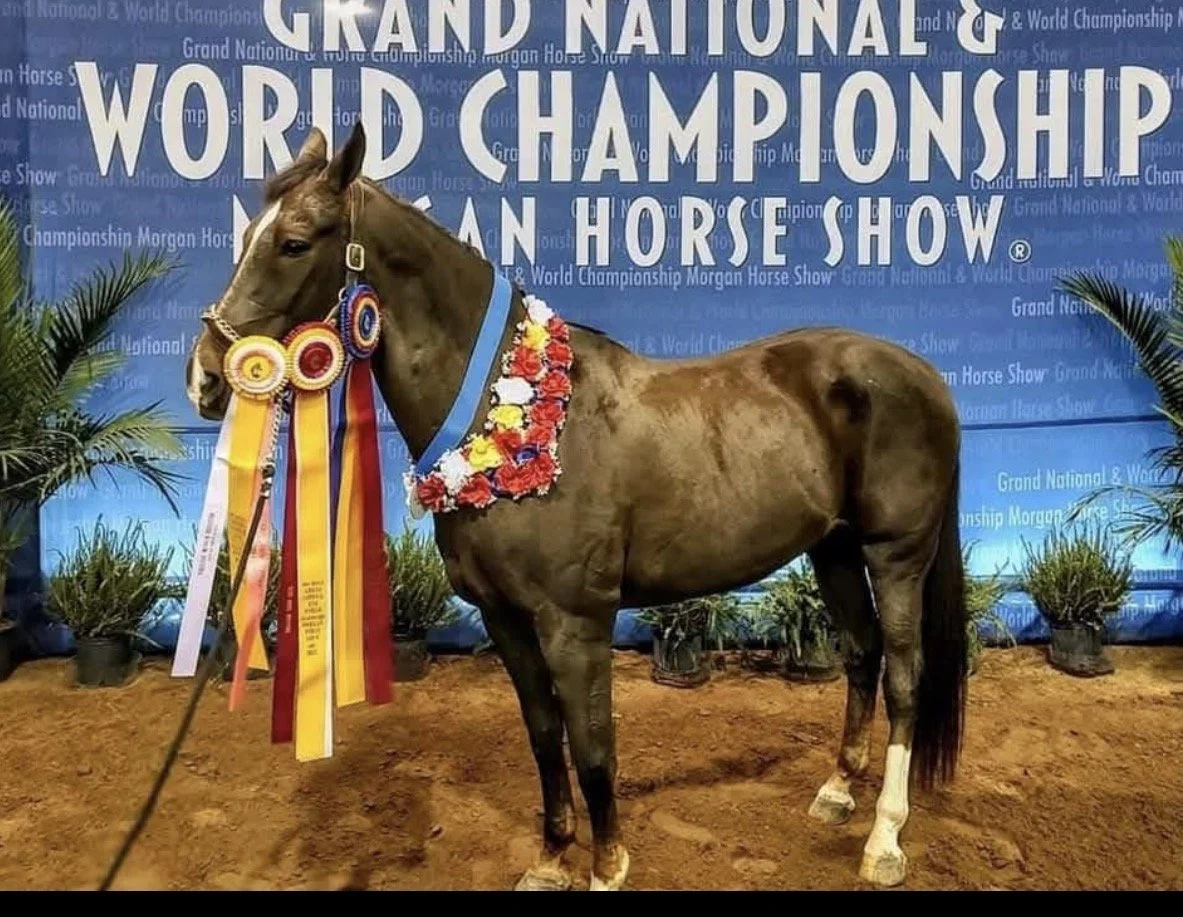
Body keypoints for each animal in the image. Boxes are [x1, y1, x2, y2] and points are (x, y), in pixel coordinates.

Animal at [186, 123, 968, 891]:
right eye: (249, 233)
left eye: (294, 242)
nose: (205, 377)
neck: (511, 416)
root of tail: (922, 372)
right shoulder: (505, 620)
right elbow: (543, 736)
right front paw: (550, 859)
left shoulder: (575, 623)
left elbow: (593, 747)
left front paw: (606, 867)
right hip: (831, 549)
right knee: (861, 654)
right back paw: (836, 794)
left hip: (895, 555)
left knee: (903, 676)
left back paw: (884, 841)